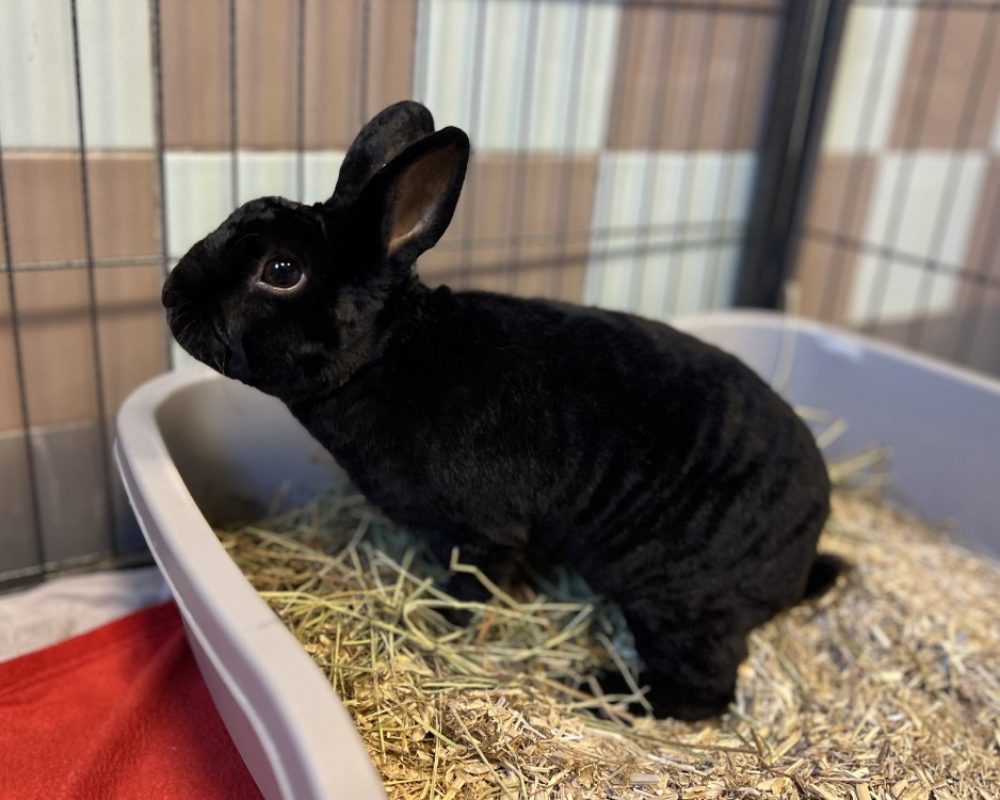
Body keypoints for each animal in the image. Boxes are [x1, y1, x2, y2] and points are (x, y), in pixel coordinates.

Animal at [161, 100, 836, 721]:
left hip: (678, 601)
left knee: (704, 692)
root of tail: (805, 548)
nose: (170, 294)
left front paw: (443, 624)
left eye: (281, 271)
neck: (388, 356)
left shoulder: (481, 535)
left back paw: (601, 691)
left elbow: (471, 589)